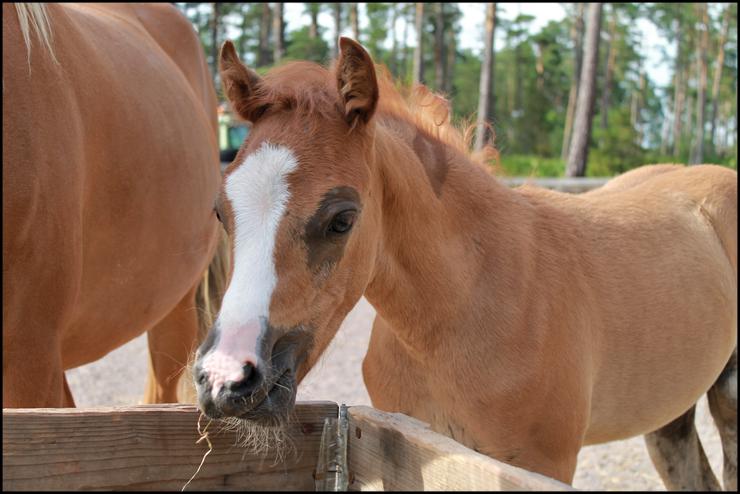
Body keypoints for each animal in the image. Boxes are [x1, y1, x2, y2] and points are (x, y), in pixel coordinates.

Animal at [191, 36, 736, 488]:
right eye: (220, 210)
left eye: (341, 219)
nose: (226, 379)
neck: (462, 310)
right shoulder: (411, 443)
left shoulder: (542, 463)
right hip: (670, 413)